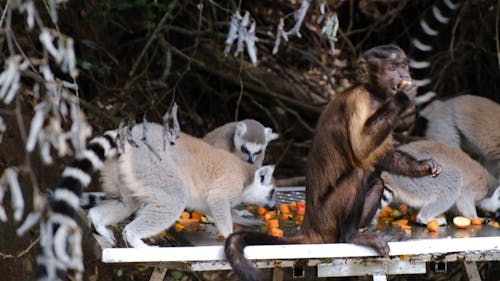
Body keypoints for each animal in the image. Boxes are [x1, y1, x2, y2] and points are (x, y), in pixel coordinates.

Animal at [224, 44, 442, 280]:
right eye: (392, 68)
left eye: (403, 66)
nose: (404, 76)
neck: (373, 92)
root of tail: (309, 225)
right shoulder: (359, 99)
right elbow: (360, 149)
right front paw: (402, 99)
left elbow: (381, 155)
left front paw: (422, 167)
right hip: (326, 219)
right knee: (357, 175)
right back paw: (350, 236)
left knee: (376, 182)